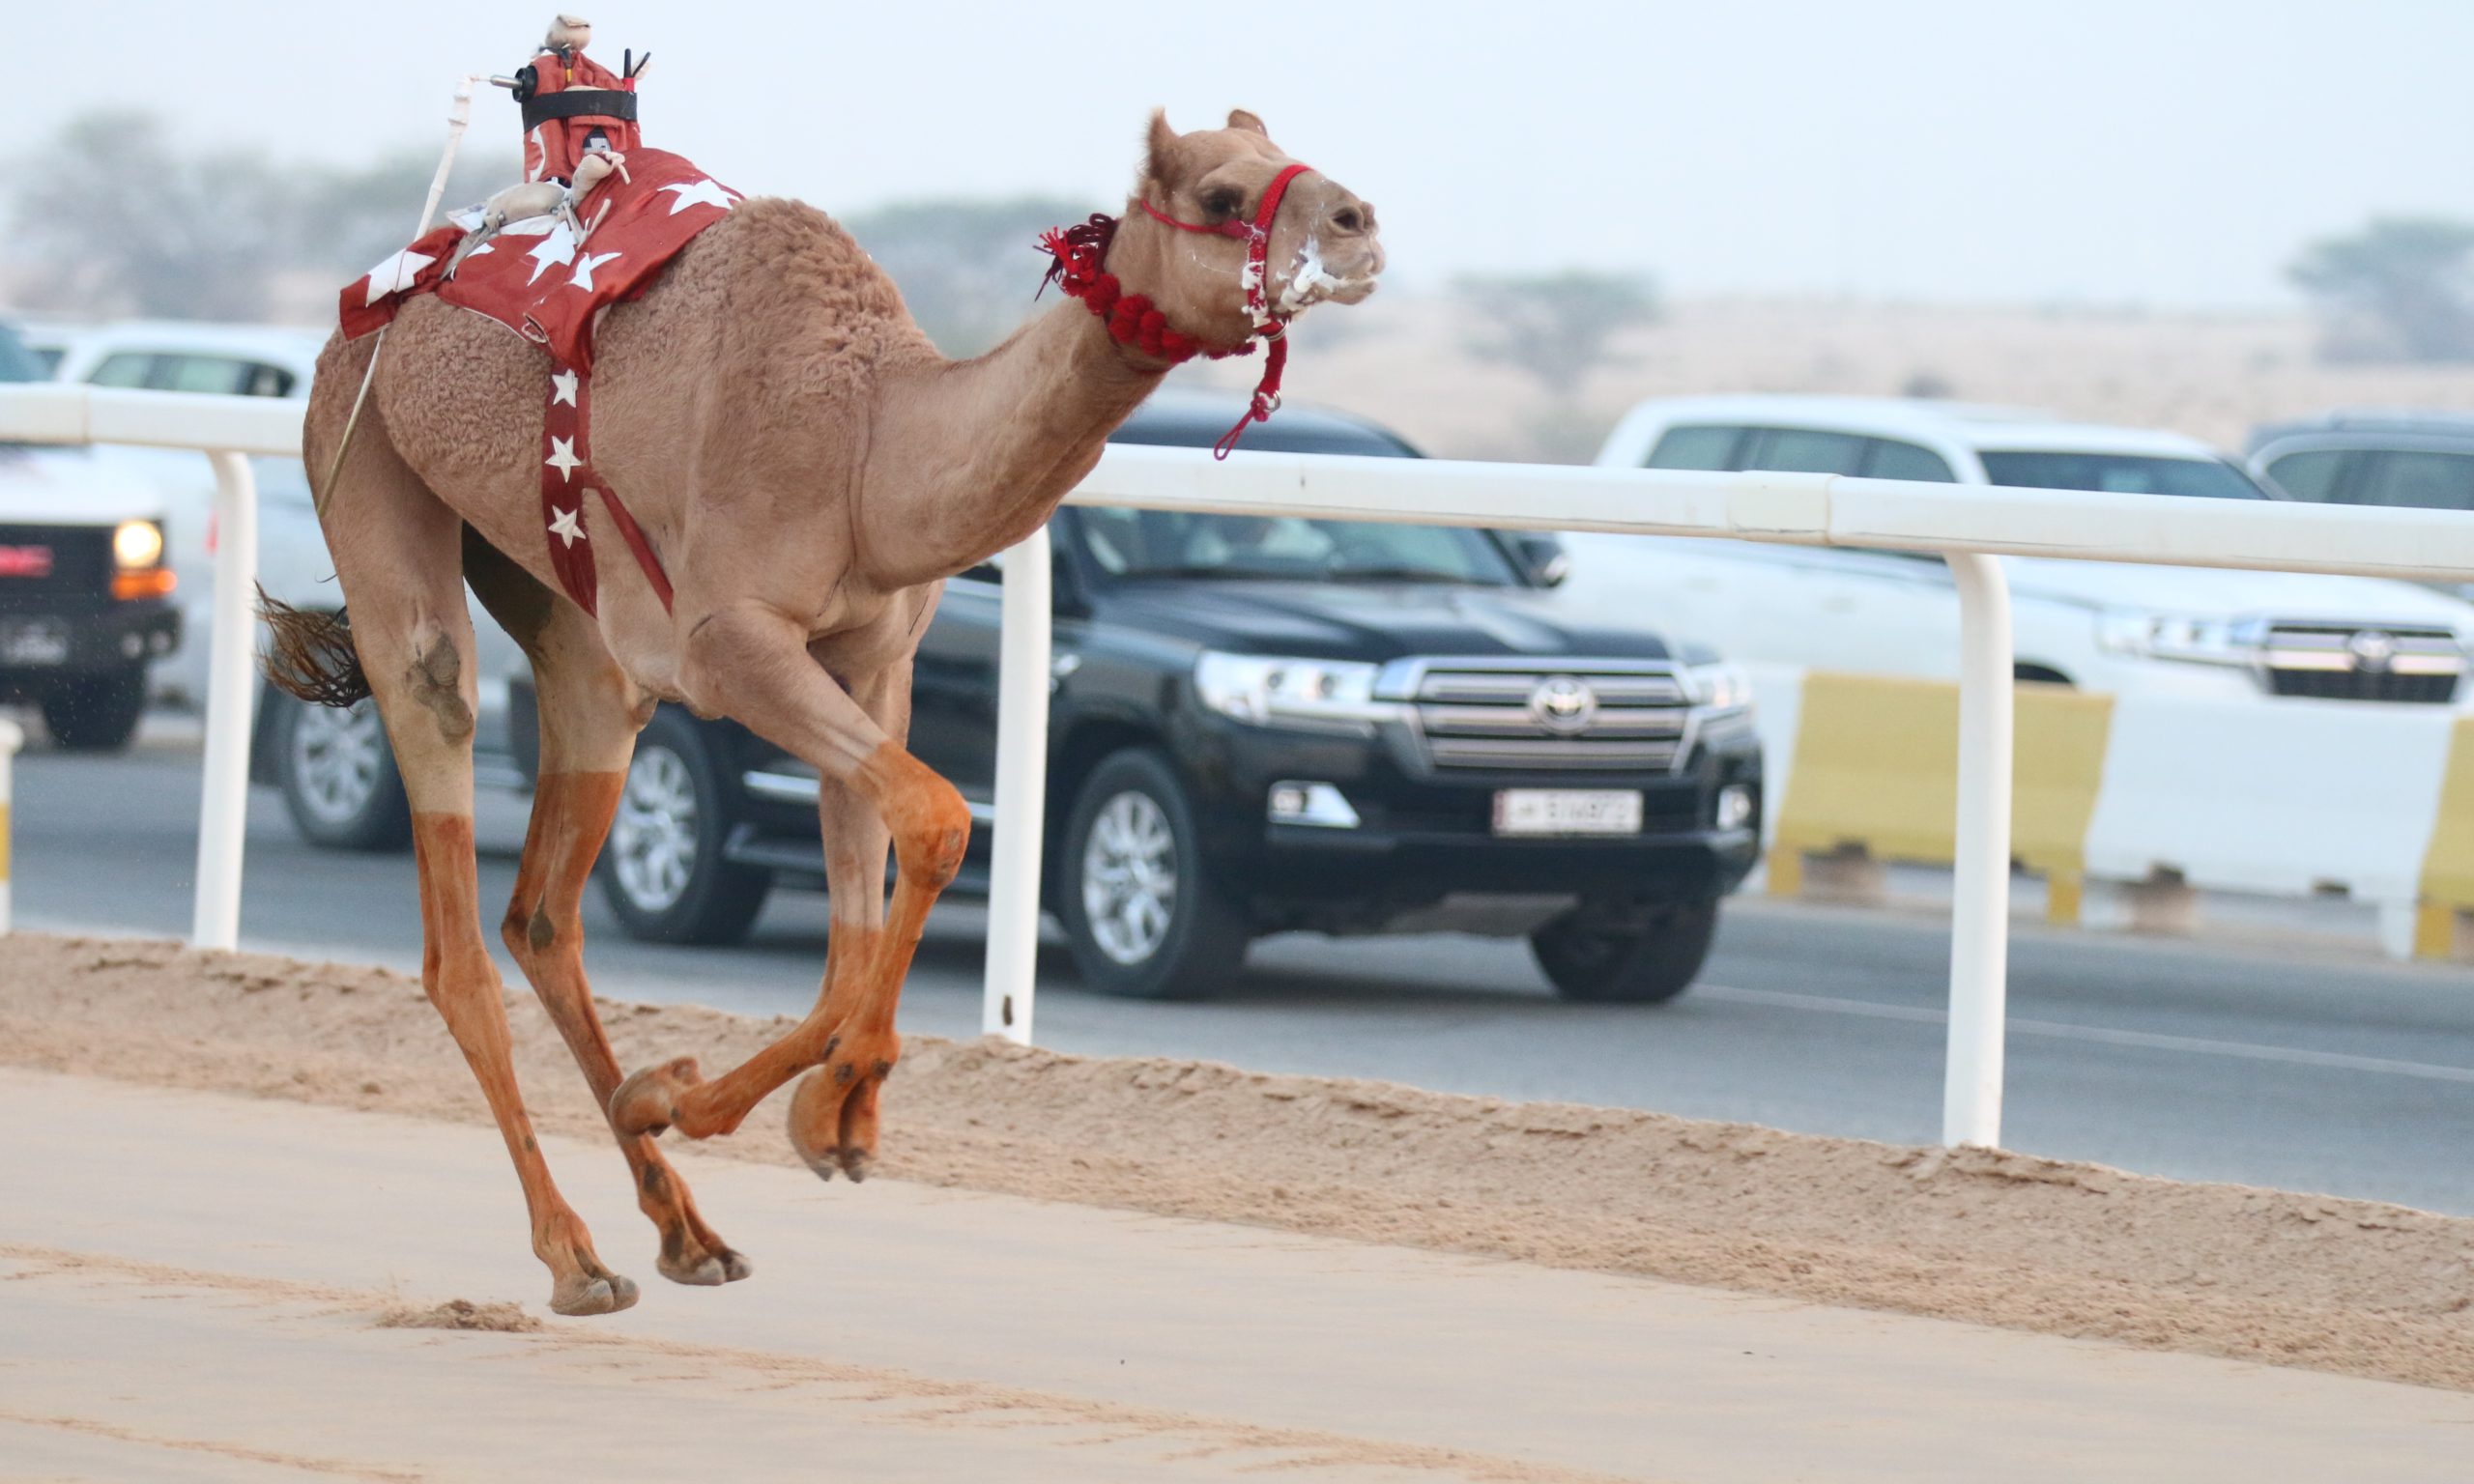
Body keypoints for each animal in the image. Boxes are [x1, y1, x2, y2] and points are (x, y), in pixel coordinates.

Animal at [280, 118, 1385, 1326]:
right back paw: (575, 1258)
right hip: (367, 466)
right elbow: (940, 818)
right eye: (1222, 194)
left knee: (545, 906)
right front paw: (743, 1102)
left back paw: (685, 1228)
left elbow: (879, 888)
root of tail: (362, 308)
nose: (1357, 225)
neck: (868, 448)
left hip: (576, 624)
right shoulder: (732, 645)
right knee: (450, 850)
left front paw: (798, 1112)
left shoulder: (872, 660)